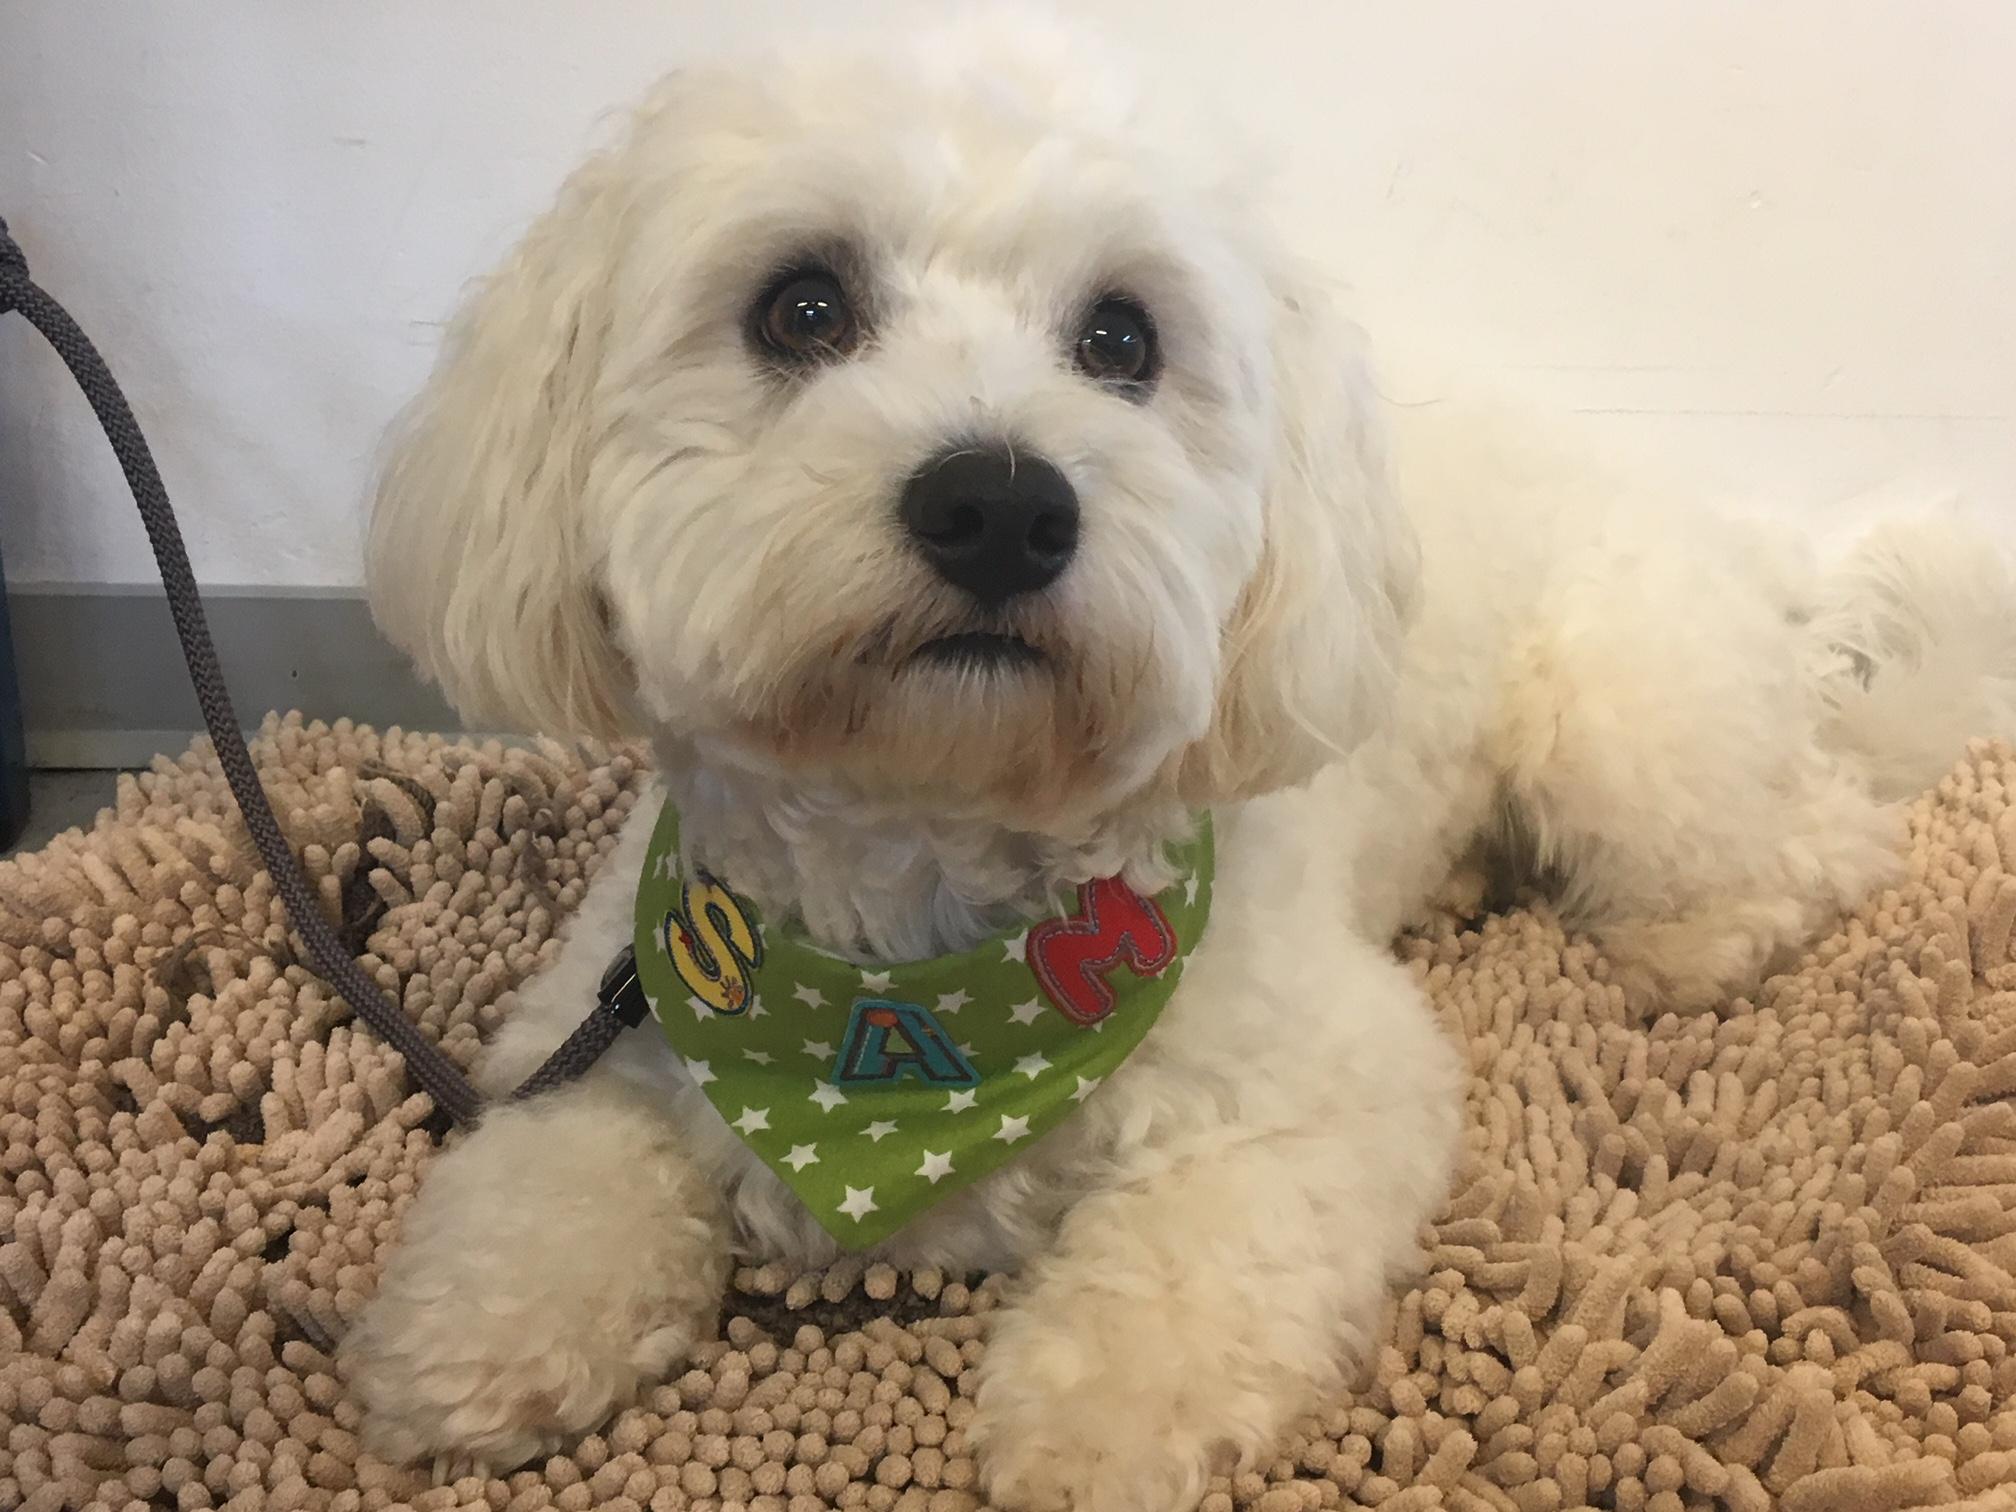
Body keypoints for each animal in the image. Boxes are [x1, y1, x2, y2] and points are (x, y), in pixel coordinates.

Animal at [342, 17, 2016, 1509]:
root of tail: (1736, 527)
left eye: (1121, 339)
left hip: (1620, 732)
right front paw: (470, 1334)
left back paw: (1688, 942)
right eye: (801, 309)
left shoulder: (1333, 1083)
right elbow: (545, 1178)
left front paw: (1089, 1427)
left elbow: (1192, 1273)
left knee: (1821, 838)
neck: (914, 995)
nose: (1001, 507)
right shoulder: (592, 1022)